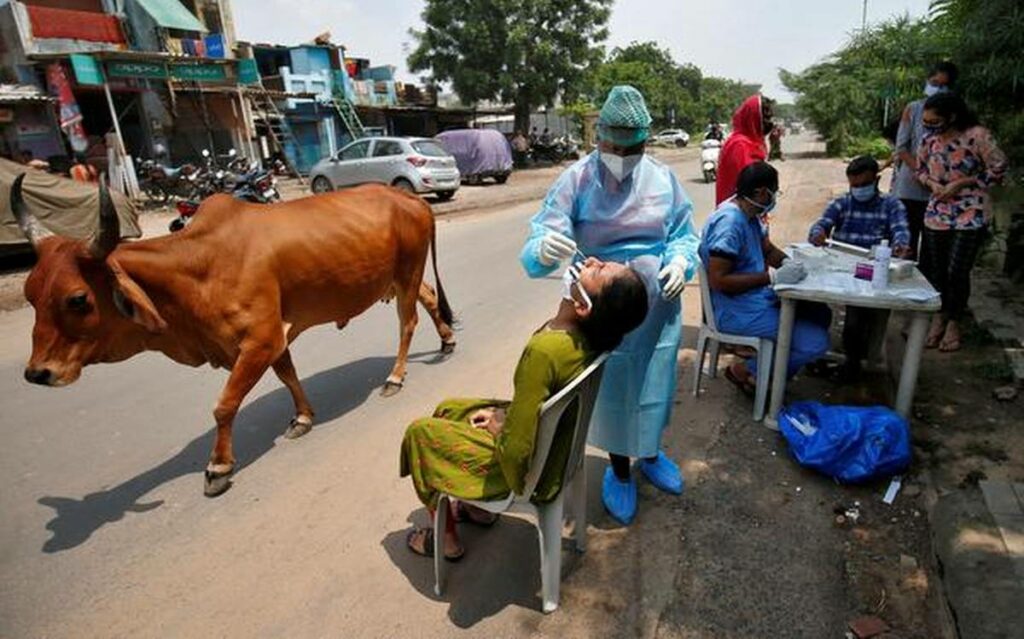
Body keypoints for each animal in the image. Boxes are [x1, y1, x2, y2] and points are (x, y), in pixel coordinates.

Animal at [12, 175, 456, 493]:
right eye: (30, 292)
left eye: (78, 299)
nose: (38, 373)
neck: (196, 267)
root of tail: (411, 199)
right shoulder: (273, 337)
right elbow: (287, 375)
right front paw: (302, 417)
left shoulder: (261, 339)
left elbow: (224, 405)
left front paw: (218, 466)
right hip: (400, 277)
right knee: (430, 298)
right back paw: (447, 339)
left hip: (407, 271)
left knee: (408, 322)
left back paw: (395, 377)